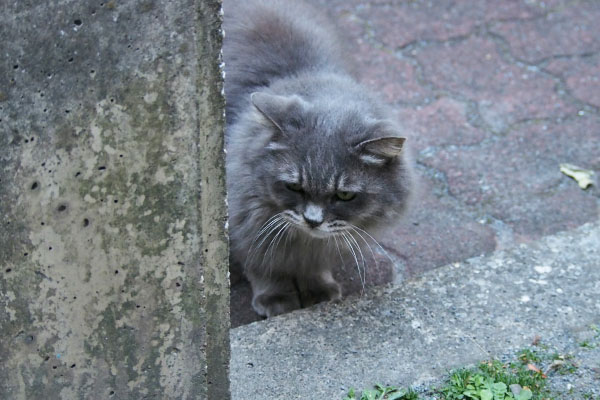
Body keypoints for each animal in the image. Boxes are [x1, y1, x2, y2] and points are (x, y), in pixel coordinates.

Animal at [223, 0, 414, 318]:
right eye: (294, 186)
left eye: (345, 195)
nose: (312, 221)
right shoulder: (246, 220)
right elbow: (262, 263)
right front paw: (276, 298)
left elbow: (317, 264)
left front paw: (318, 290)